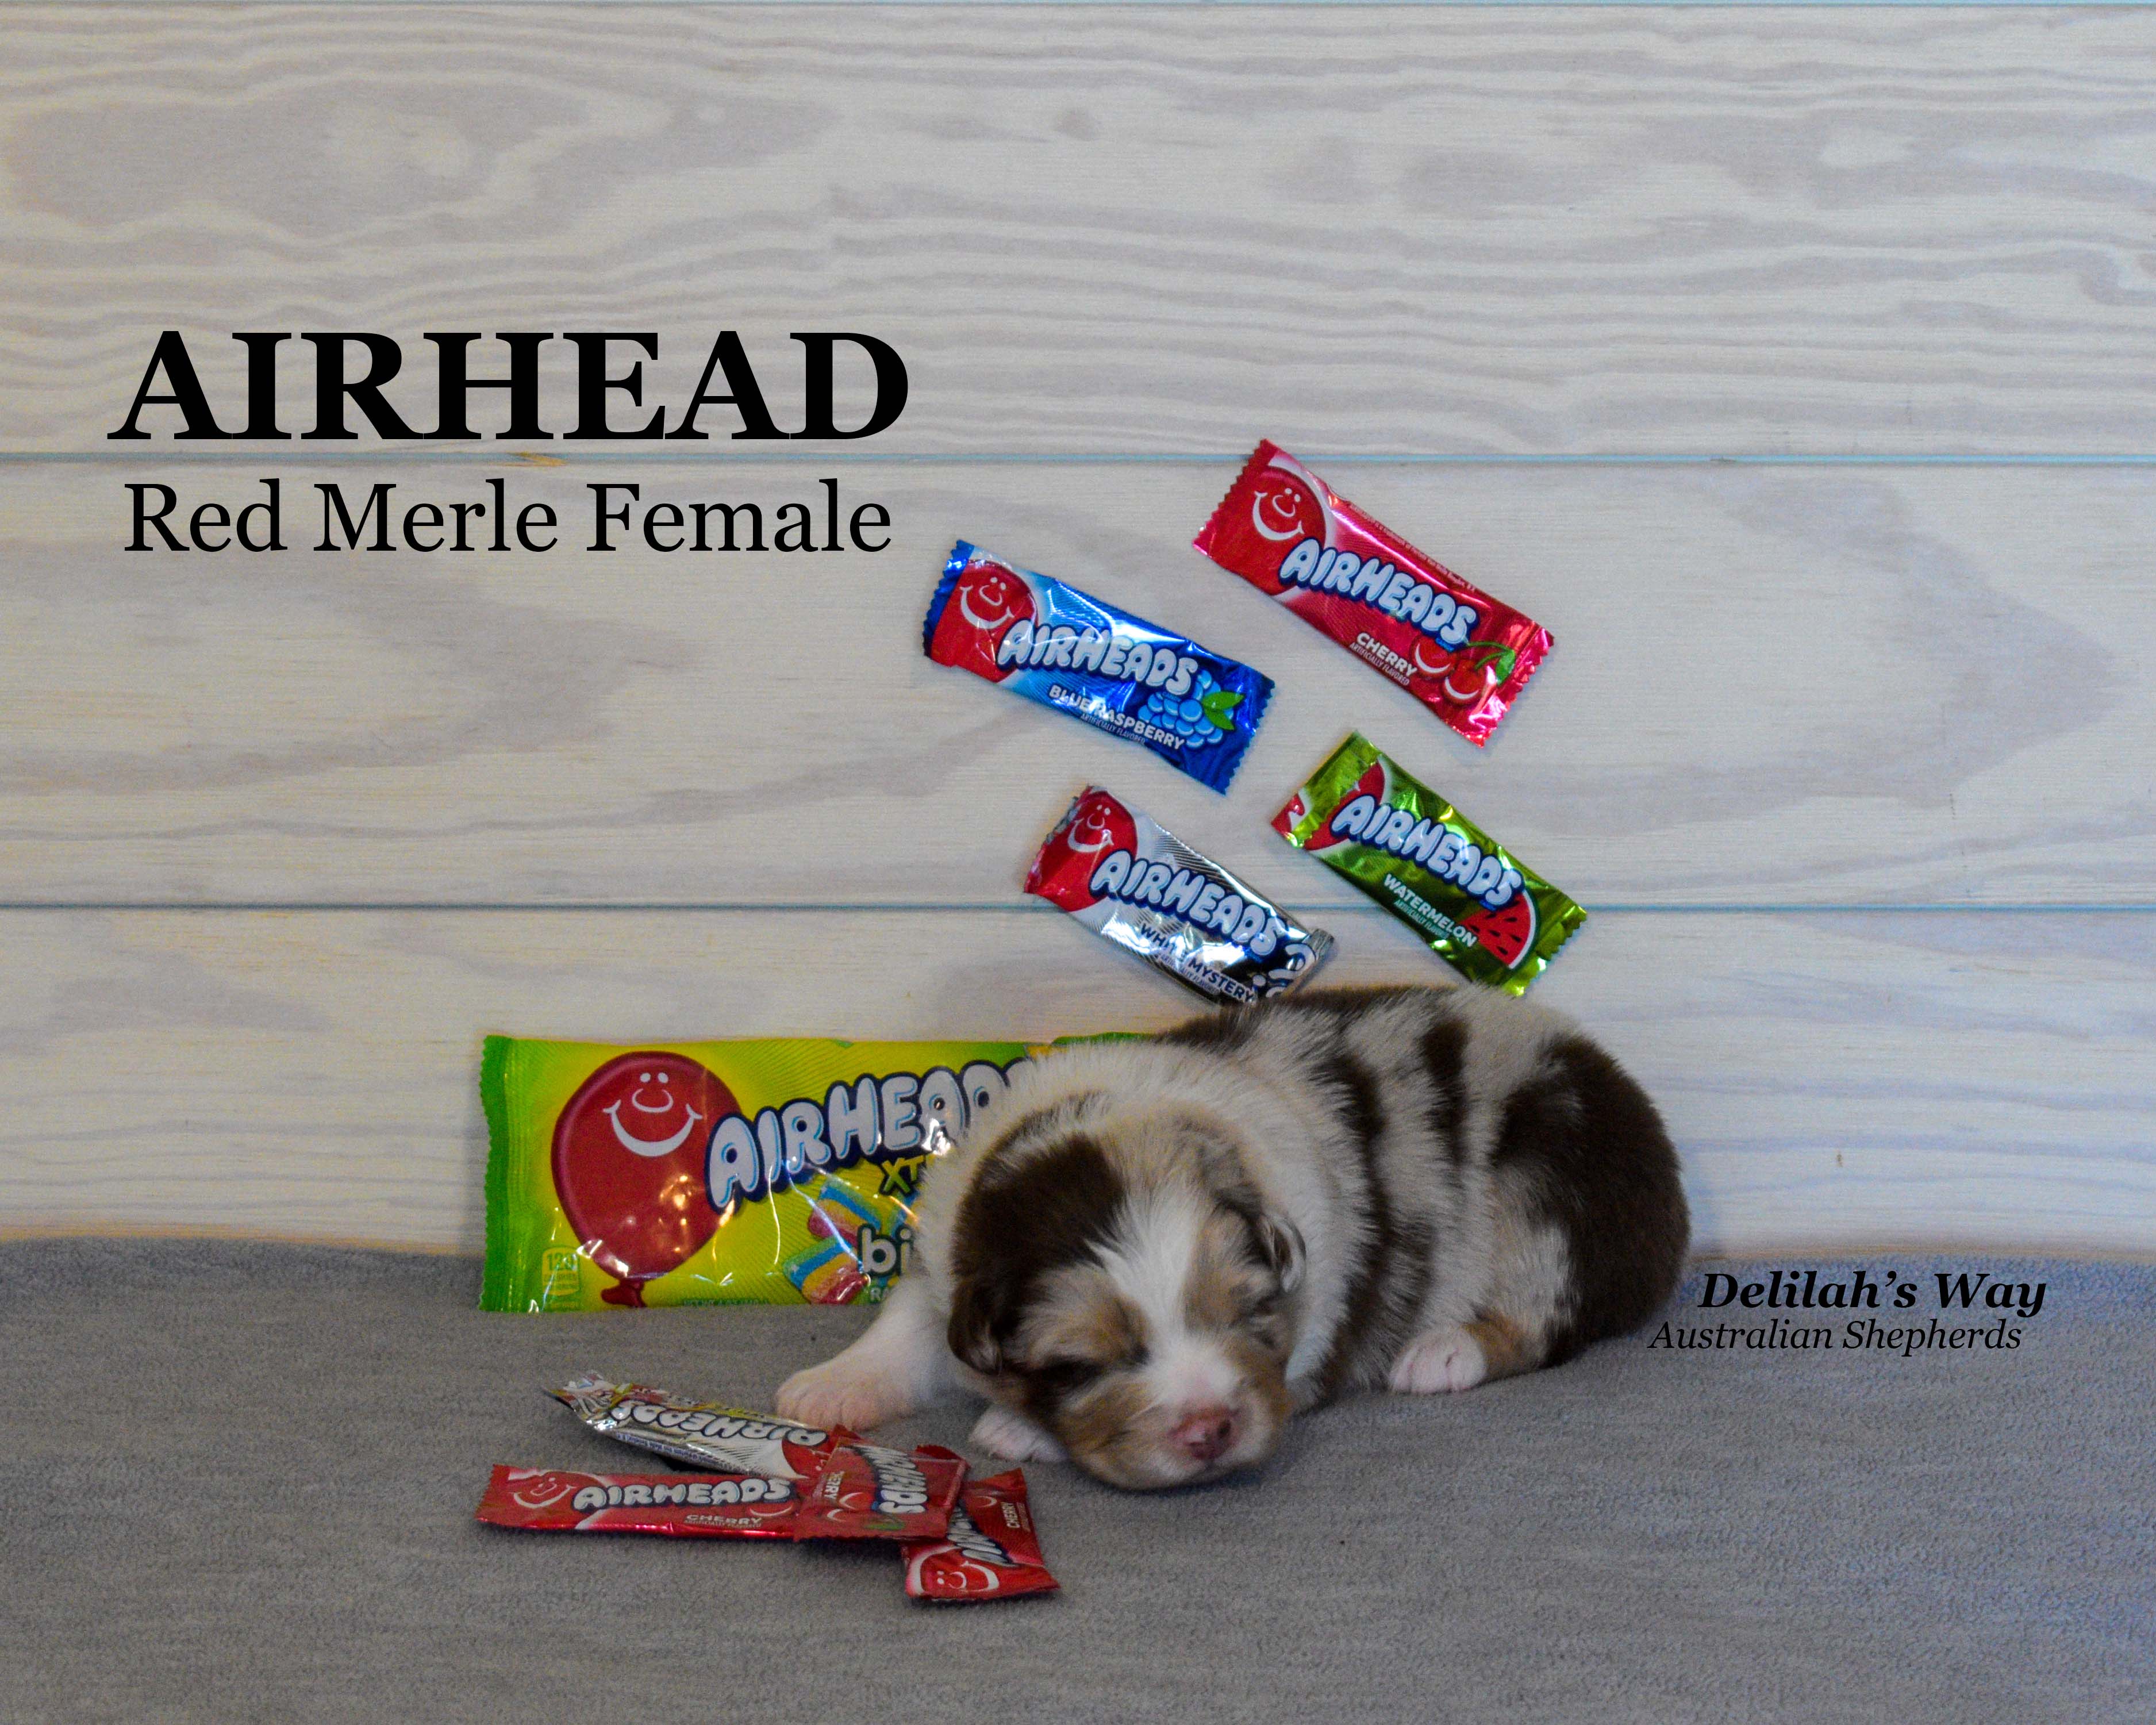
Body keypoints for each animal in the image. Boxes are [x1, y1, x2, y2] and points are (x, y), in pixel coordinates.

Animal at [776, 984, 1688, 1490]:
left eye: (1247, 1314)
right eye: (1075, 1365)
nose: (1208, 1428)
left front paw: (1017, 1429)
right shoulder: (947, 1262)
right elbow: (904, 1324)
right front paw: (827, 1387)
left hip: (1555, 1187)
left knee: (1545, 1315)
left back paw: (1444, 1350)